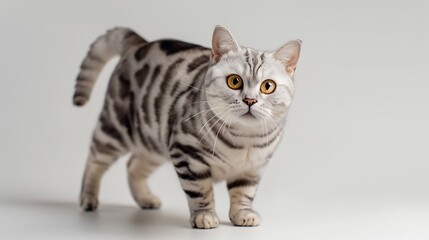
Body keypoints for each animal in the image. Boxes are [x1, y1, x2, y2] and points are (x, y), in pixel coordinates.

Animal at [73, 25, 300, 229]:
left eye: (268, 86)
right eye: (234, 81)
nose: (250, 100)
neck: (244, 140)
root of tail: (140, 42)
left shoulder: (253, 168)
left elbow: (244, 193)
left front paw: (243, 214)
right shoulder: (188, 155)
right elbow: (200, 190)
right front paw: (204, 216)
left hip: (154, 141)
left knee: (133, 165)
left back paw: (146, 199)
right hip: (116, 128)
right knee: (94, 160)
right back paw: (88, 198)